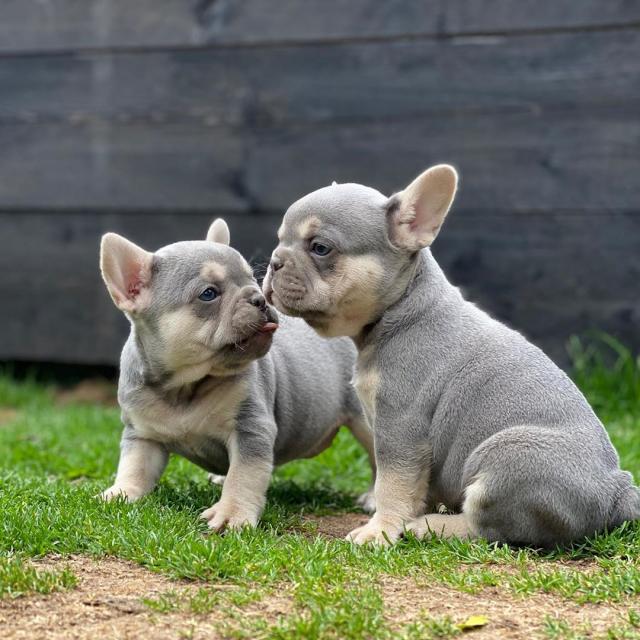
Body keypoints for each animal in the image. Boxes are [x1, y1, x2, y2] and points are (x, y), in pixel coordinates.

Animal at [100, 220, 376, 528]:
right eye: (208, 293)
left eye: (252, 279)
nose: (260, 298)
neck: (184, 386)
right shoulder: (143, 435)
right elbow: (134, 466)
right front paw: (121, 492)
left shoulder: (250, 429)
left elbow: (243, 475)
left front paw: (232, 513)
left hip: (365, 420)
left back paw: (374, 497)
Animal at [262, 164, 640, 544]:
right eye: (279, 239)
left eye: (320, 247)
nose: (274, 261)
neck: (403, 309)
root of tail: (617, 490)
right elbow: (412, 485)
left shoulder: (400, 427)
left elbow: (391, 483)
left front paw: (380, 530)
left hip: (505, 456)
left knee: (488, 529)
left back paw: (432, 525)